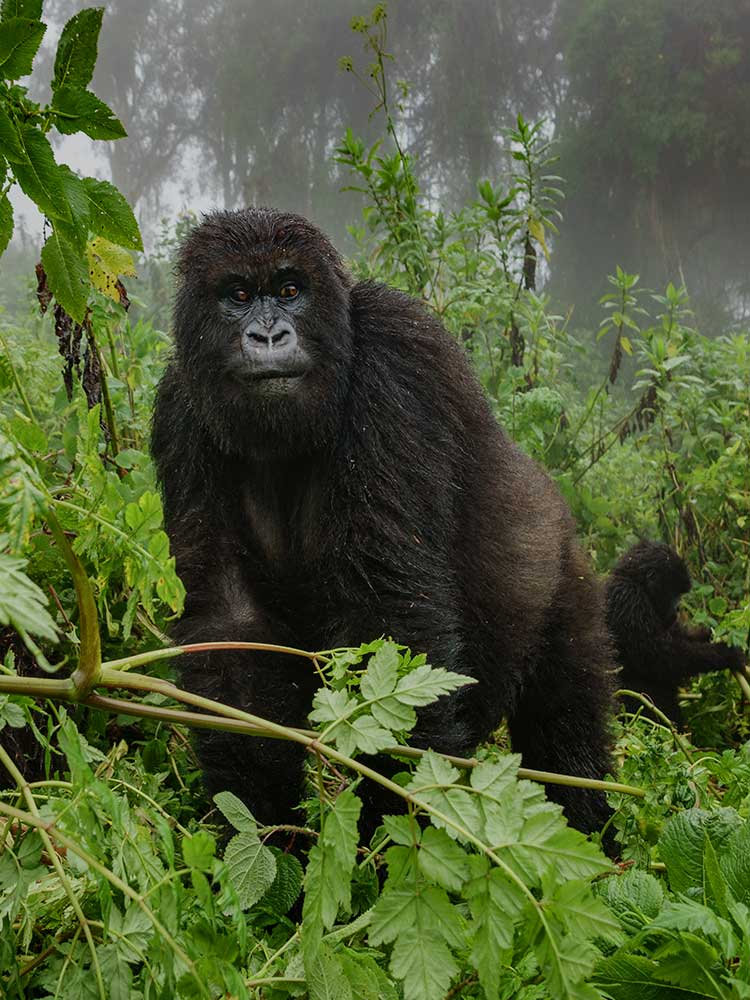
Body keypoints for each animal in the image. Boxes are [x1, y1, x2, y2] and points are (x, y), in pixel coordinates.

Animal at [151, 207, 615, 835]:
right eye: (238, 295)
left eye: (290, 290)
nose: (268, 336)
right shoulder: (180, 409)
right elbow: (232, 622)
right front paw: (262, 831)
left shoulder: (396, 359)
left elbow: (392, 623)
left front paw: (406, 836)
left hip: (571, 578)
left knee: (565, 735)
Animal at [606, 540, 745, 722]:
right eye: (674, 593)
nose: (678, 608)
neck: (635, 581)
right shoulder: (629, 600)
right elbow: (660, 657)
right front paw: (726, 654)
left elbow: (677, 637)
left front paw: (708, 635)